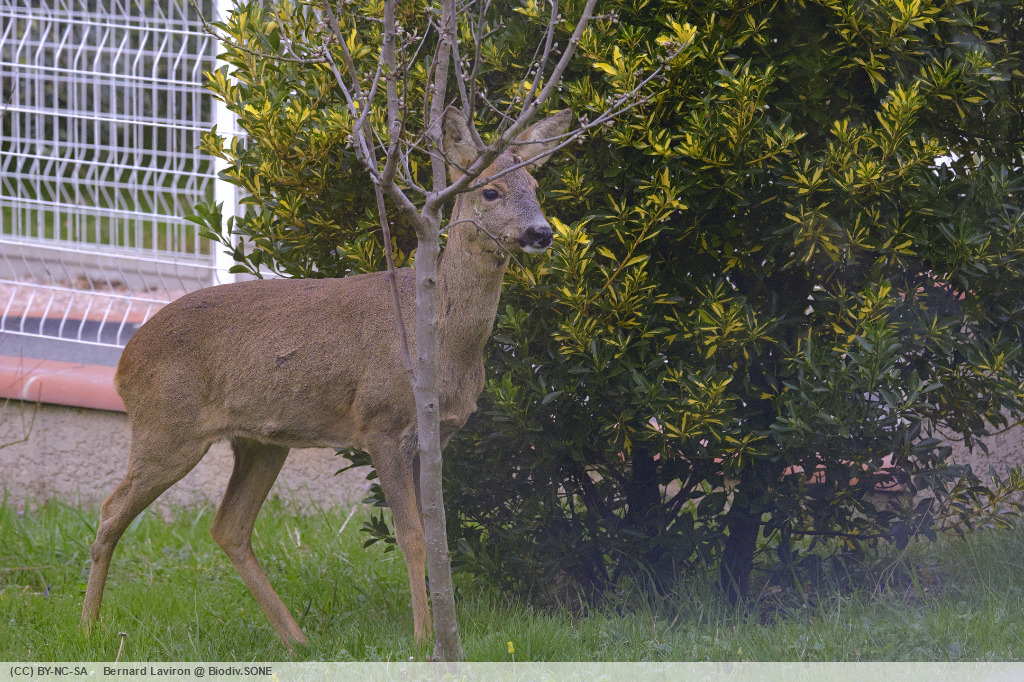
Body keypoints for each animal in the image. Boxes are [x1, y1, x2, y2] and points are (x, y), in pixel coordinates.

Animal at [80, 108, 573, 648]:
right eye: (490, 191)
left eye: (535, 184)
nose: (541, 233)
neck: (441, 342)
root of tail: (124, 362)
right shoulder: (381, 422)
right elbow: (412, 536)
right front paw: (424, 639)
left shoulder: (436, 434)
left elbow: (435, 533)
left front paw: (434, 627)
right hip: (168, 426)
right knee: (111, 509)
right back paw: (90, 627)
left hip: (261, 440)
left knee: (228, 526)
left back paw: (295, 638)